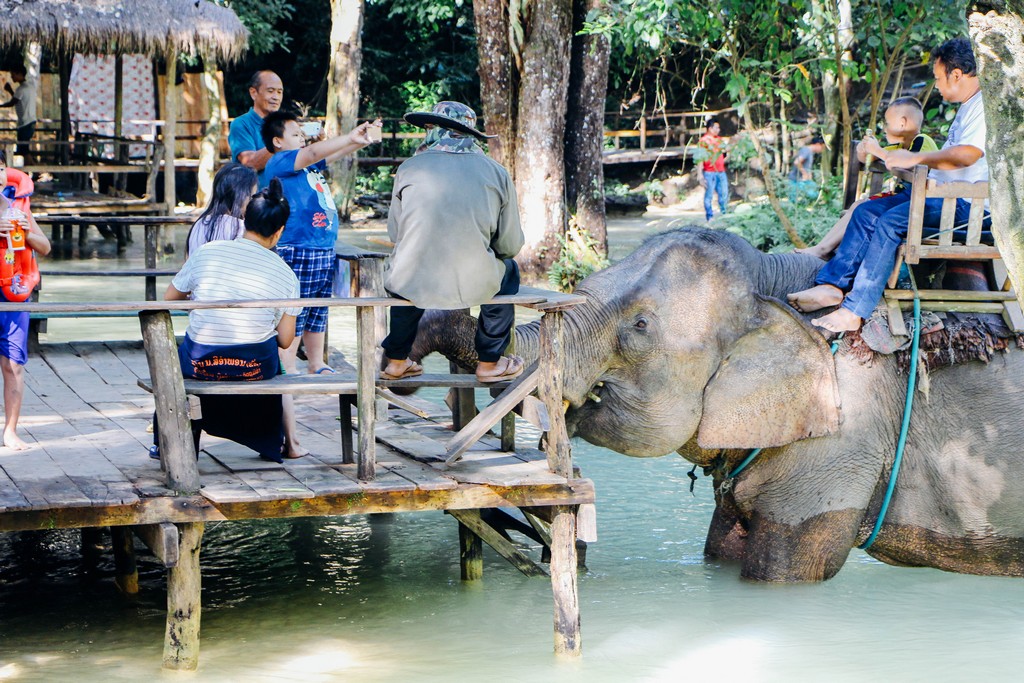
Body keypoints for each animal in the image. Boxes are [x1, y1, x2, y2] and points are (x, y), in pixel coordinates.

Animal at [407, 228, 1024, 581]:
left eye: (639, 326)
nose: (409, 365)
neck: (778, 280)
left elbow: (789, 569)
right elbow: (721, 547)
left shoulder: (843, 436)